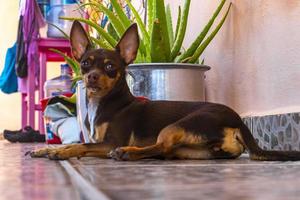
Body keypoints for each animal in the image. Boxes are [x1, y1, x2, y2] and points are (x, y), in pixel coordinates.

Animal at [27, 20, 300, 161]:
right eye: (85, 63)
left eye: (110, 67)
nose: (92, 76)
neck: (106, 103)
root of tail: (238, 121)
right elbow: (73, 143)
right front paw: (47, 148)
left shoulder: (108, 143)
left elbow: (81, 145)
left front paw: (63, 152)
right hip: (195, 151)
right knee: (168, 151)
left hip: (176, 126)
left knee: (160, 147)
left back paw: (127, 153)